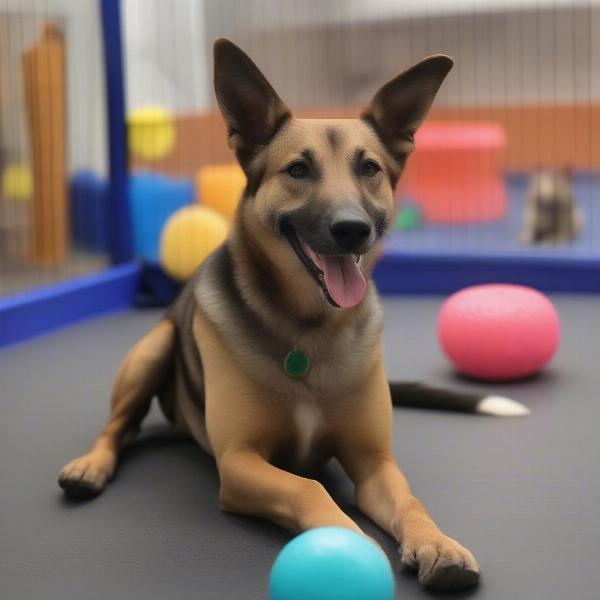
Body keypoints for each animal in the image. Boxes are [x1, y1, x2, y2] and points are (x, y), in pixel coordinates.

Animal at [58, 38, 528, 592]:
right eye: (298, 170)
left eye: (369, 169)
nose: (352, 230)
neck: (308, 326)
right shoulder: (239, 463)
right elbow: (307, 488)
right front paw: (349, 545)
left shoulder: (375, 464)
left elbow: (409, 501)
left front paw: (437, 544)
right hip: (150, 351)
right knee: (118, 428)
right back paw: (90, 465)